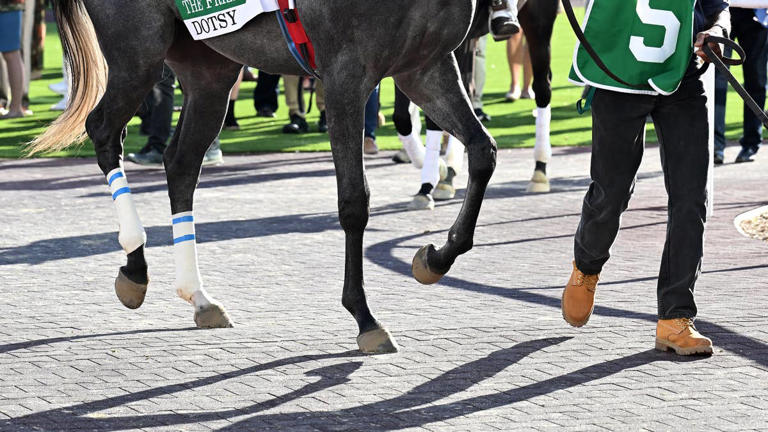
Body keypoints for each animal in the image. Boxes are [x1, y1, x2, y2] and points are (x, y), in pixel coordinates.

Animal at [29, 0, 498, 354]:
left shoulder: (425, 65)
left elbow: (483, 153)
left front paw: (434, 258)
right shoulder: (346, 75)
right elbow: (353, 201)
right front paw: (364, 317)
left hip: (209, 67)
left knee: (181, 163)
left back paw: (198, 297)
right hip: (138, 50)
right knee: (104, 131)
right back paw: (135, 266)